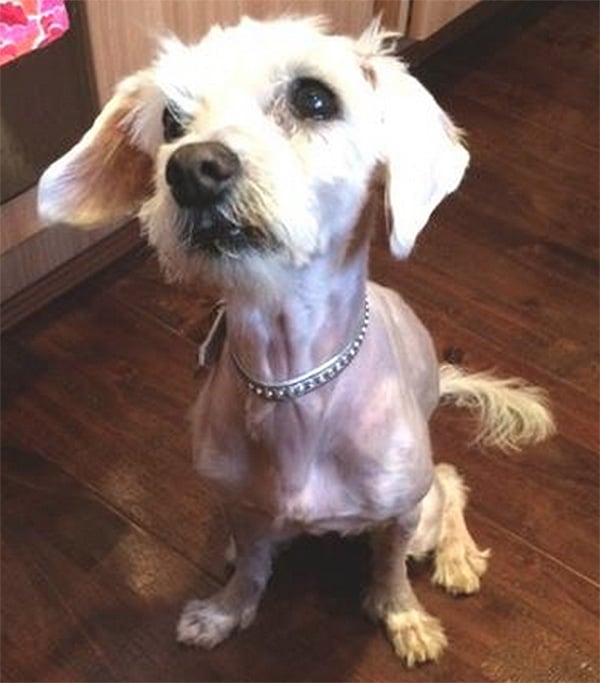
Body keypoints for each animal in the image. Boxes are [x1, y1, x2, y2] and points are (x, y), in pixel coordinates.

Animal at [37, 17, 556, 668]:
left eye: (314, 98)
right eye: (171, 121)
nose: (191, 169)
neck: (291, 380)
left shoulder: (399, 513)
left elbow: (390, 570)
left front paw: (404, 617)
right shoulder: (242, 506)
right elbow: (253, 569)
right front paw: (225, 610)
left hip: (425, 503)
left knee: (451, 482)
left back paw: (457, 557)